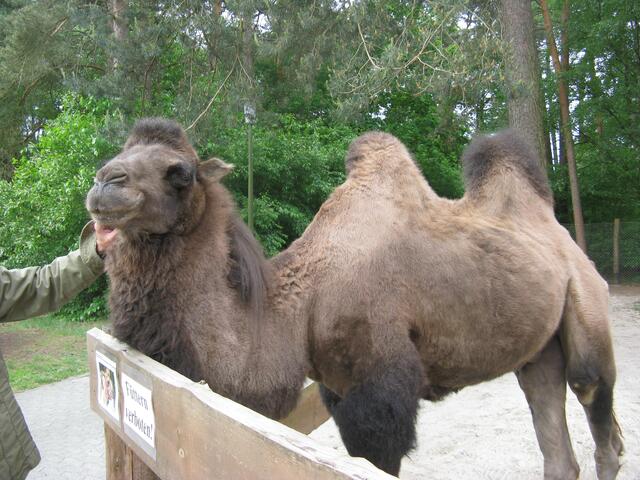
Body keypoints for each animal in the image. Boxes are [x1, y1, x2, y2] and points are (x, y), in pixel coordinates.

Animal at [86, 118, 622, 479]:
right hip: (537, 348)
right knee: (554, 435)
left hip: (586, 301)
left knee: (596, 405)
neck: (300, 307)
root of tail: (557, 231)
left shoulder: (380, 388)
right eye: (119, 154)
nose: (104, 182)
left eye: (179, 172)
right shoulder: (337, 388)